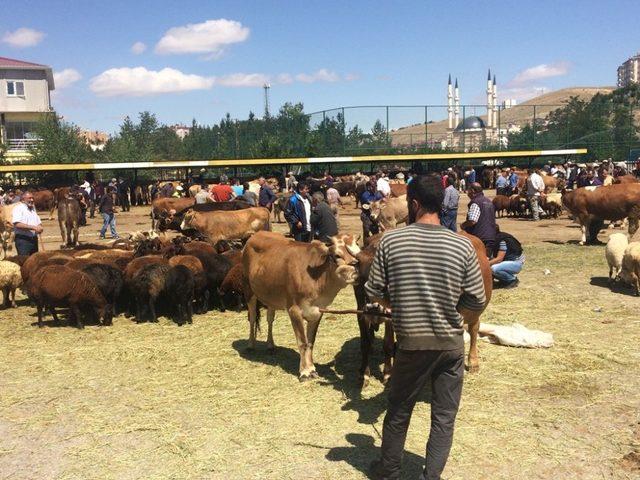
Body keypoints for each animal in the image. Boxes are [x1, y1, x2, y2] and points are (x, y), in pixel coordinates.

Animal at [242, 231, 360, 380]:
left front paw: (312, 369)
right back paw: (250, 344)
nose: (357, 271)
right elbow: (302, 342)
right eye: (337, 255)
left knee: (270, 318)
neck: (317, 277)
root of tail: (256, 235)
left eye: (359, 253)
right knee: (252, 318)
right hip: (249, 290)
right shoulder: (294, 310)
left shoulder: (318, 311)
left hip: (270, 296)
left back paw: (270, 345)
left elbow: (310, 342)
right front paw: (305, 371)